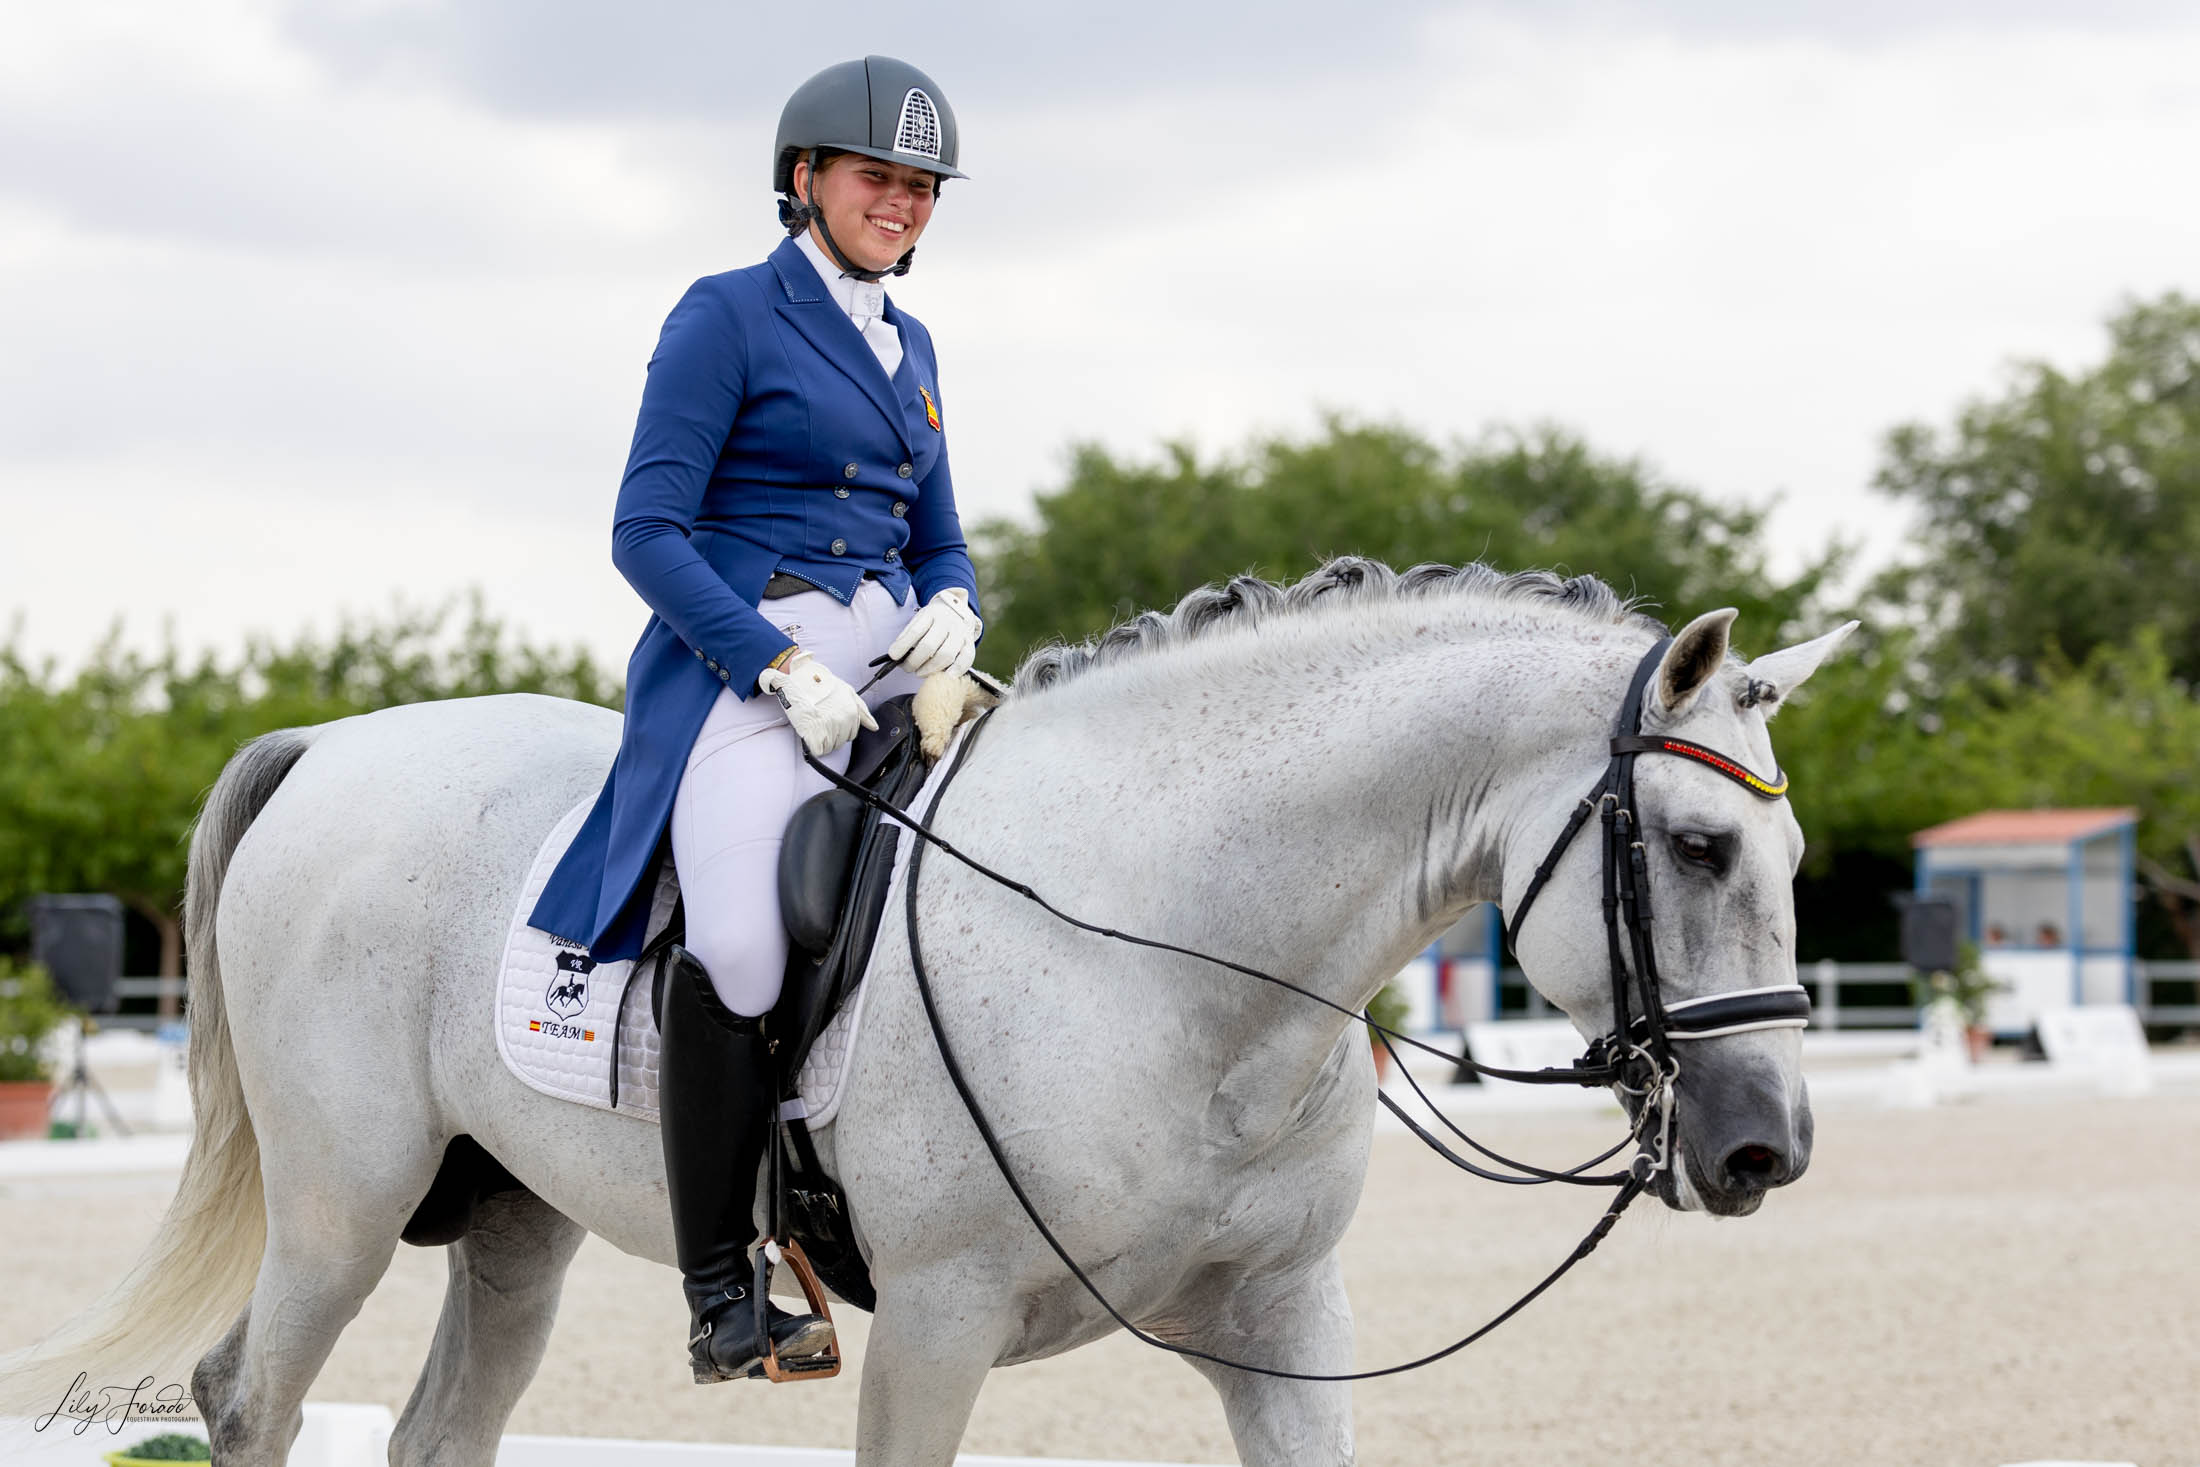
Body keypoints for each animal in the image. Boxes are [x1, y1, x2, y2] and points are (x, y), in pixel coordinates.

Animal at [0, 563, 1856, 1467]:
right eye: (1696, 846)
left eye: (1786, 859)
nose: (1764, 1149)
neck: (1175, 949)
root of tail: (337, 742)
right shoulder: (942, 1321)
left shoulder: (1283, 1314)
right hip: (343, 1201)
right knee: (247, 1397)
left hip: (513, 1221)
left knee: (441, 1429)